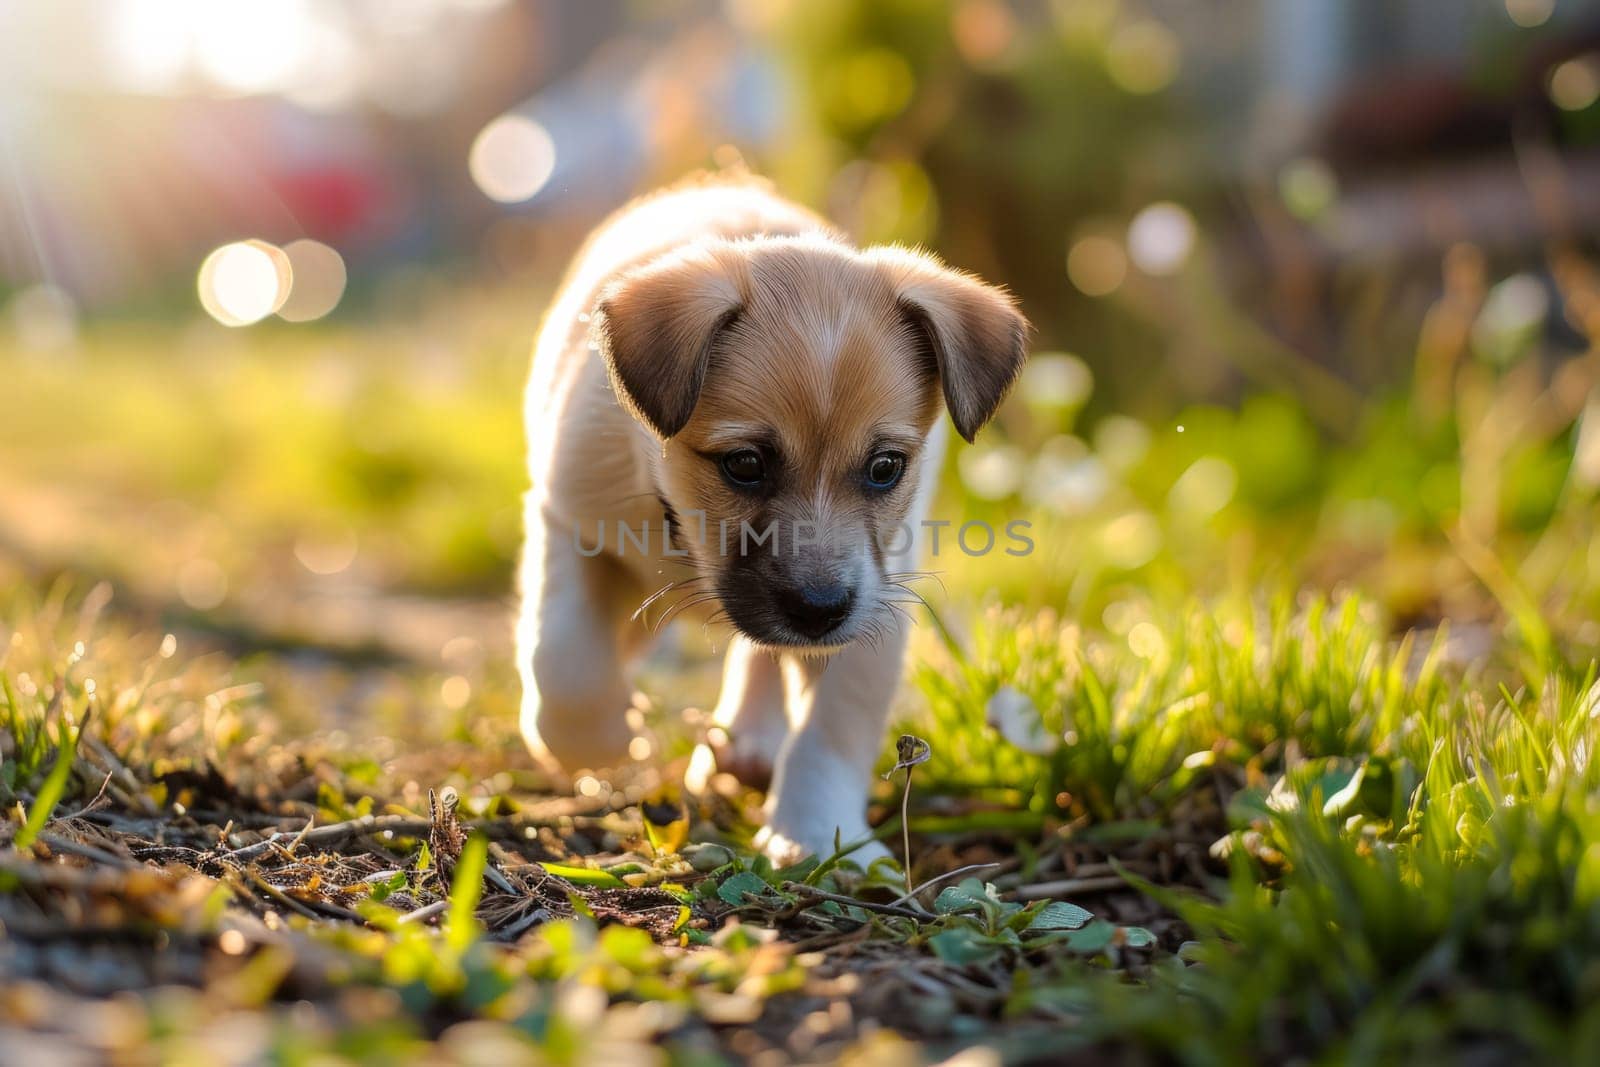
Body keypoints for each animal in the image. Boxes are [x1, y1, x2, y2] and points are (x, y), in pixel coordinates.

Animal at [518, 173, 1030, 857]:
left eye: (885, 467)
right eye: (744, 464)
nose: (817, 611)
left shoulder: (877, 596)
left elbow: (830, 730)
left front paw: (816, 837)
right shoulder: (570, 525)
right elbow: (564, 658)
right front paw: (594, 743)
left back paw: (752, 744)